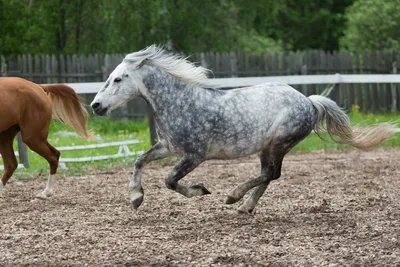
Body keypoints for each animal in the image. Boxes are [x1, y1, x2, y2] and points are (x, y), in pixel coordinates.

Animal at [91, 45, 396, 215]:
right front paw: (136, 198)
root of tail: (309, 101)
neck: (181, 103)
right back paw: (245, 206)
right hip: (267, 148)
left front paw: (201, 191)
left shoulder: (194, 155)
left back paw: (233, 197)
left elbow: (169, 180)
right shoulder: (168, 147)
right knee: (269, 175)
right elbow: (139, 160)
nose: (95, 106)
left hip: (279, 143)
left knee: (271, 174)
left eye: (118, 79)